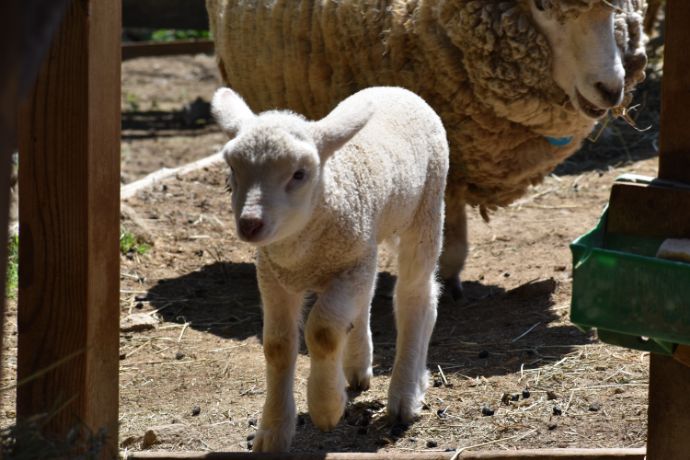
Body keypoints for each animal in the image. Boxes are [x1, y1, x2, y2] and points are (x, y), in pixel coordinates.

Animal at [212, 87, 448, 452]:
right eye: (233, 170)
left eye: (299, 174)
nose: (250, 224)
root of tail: (395, 89)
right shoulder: (274, 276)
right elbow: (278, 346)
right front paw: (273, 431)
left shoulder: (347, 268)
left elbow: (322, 332)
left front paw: (326, 407)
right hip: (366, 245)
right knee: (367, 298)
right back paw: (357, 365)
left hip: (426, 207)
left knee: (415, 297)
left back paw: (404, 395)